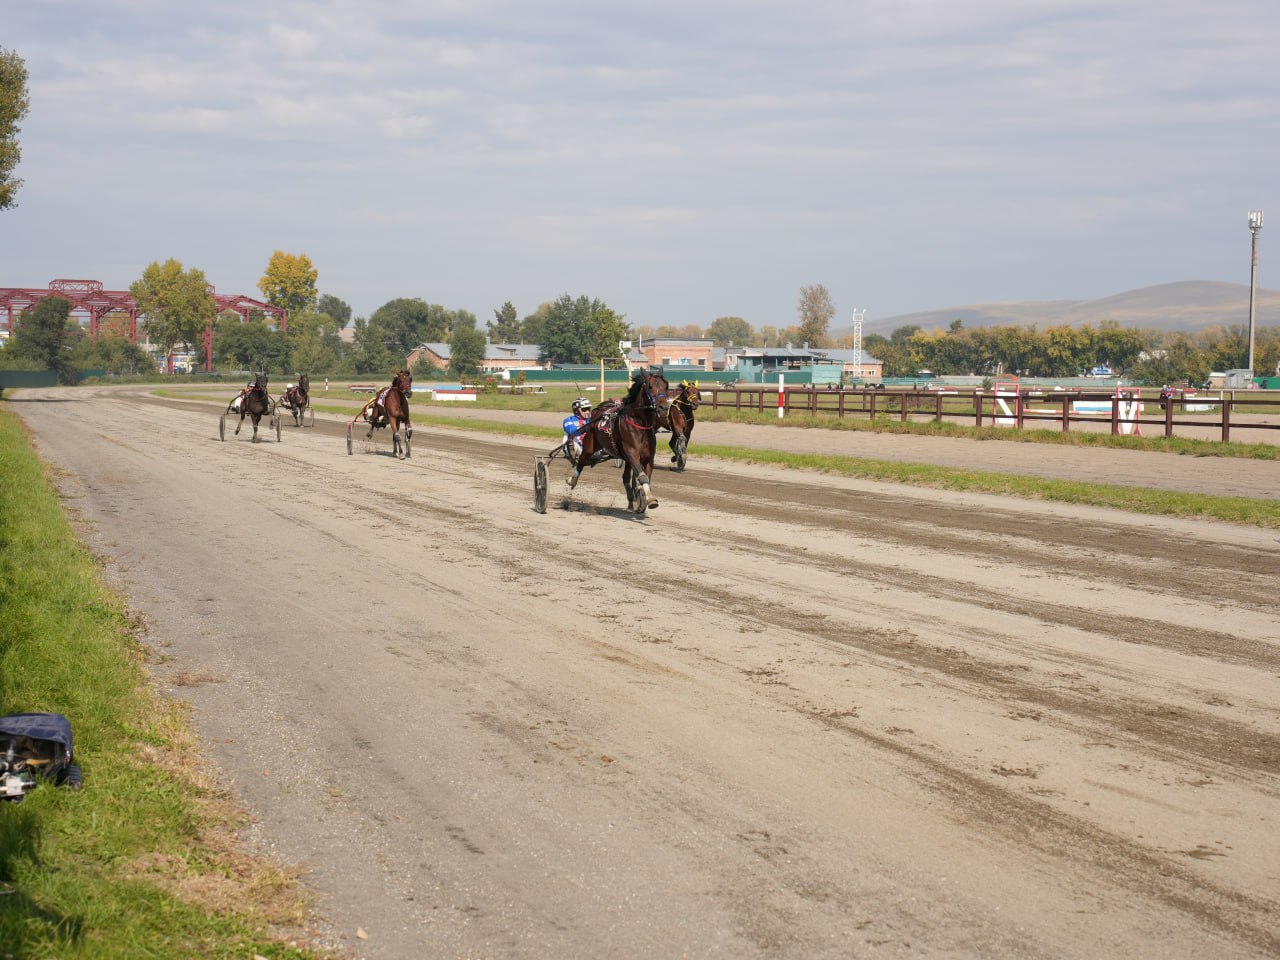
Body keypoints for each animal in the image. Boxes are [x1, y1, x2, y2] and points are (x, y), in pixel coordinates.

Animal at [568, 371, 670, 519]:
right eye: (650, 387)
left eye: (666, 386)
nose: (663, 408)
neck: (640, 424)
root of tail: (599, 409)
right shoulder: (632, 453)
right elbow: (643, 477)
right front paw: (650, 499)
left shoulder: (647, 458)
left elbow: (645, 477)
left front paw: (643, 498)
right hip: (590, 445)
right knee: (581, 460)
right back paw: (572, 480)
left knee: (626, 478)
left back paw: (631, 501)